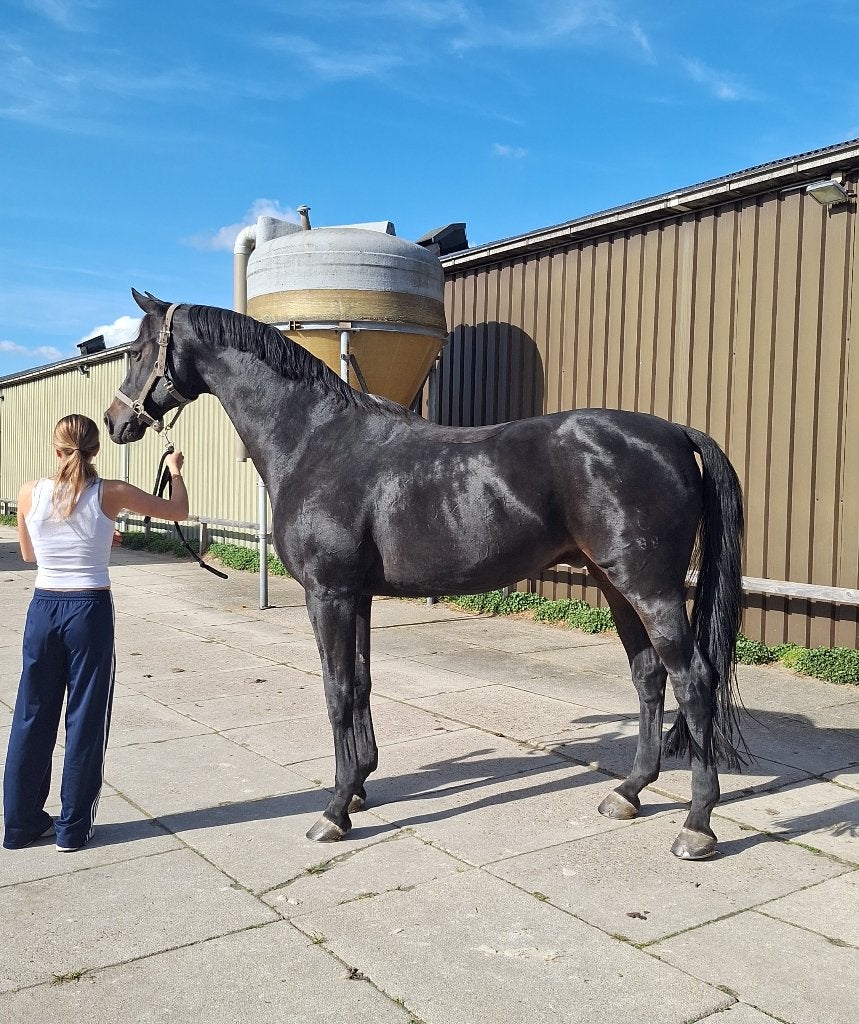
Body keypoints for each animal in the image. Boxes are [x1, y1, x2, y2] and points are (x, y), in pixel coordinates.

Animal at [104, 289, 746, 860]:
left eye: (136, 349)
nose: (114, 422)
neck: (314, 439)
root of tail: (674, 433)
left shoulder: (328, 595)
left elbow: (336, 691)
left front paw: (333, 811)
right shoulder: (357, 597)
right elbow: (361, 684)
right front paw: (359, 786)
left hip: (650, 589)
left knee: (693, 680)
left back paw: (696, 826)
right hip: (617, 586)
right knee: (649, 677)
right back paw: (628, 793)